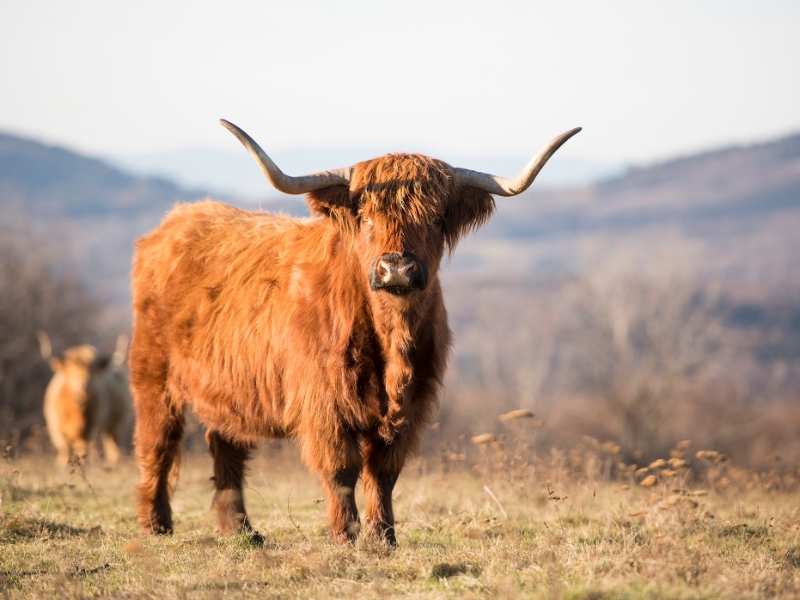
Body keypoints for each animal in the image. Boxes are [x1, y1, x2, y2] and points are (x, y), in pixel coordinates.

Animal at [39, 331, 132, 466]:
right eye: (71, 368)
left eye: (92, 369)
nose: (82, 384)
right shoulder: (57, 429)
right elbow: (64, 450)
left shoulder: (93, 428)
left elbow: (85, 449)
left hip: (117, 424)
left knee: (112, 446)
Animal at [129, 119, 580, 544]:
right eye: (365, 219)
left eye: (436, 219)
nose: (396, 268)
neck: (392, 342)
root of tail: (177, 221)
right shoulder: (324, 403)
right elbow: (342, 470)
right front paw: (345, 535)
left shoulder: (412, 406)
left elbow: (383, 473)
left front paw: (383, 536)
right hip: (153, 376)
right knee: (157, 443)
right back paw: (155, 525)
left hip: (229, 389)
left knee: (225, 446)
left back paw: (239, 530)